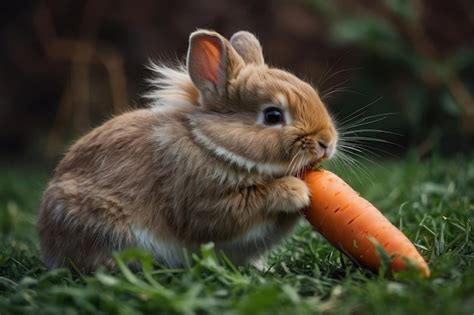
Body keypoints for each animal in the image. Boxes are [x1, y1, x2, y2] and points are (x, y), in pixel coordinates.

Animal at [39, 29, 338, 272]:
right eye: (273, 116)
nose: (327, 142)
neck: (212, 145)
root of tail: (48, 243)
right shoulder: (202, 200)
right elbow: (237, 211)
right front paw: (295, 191)